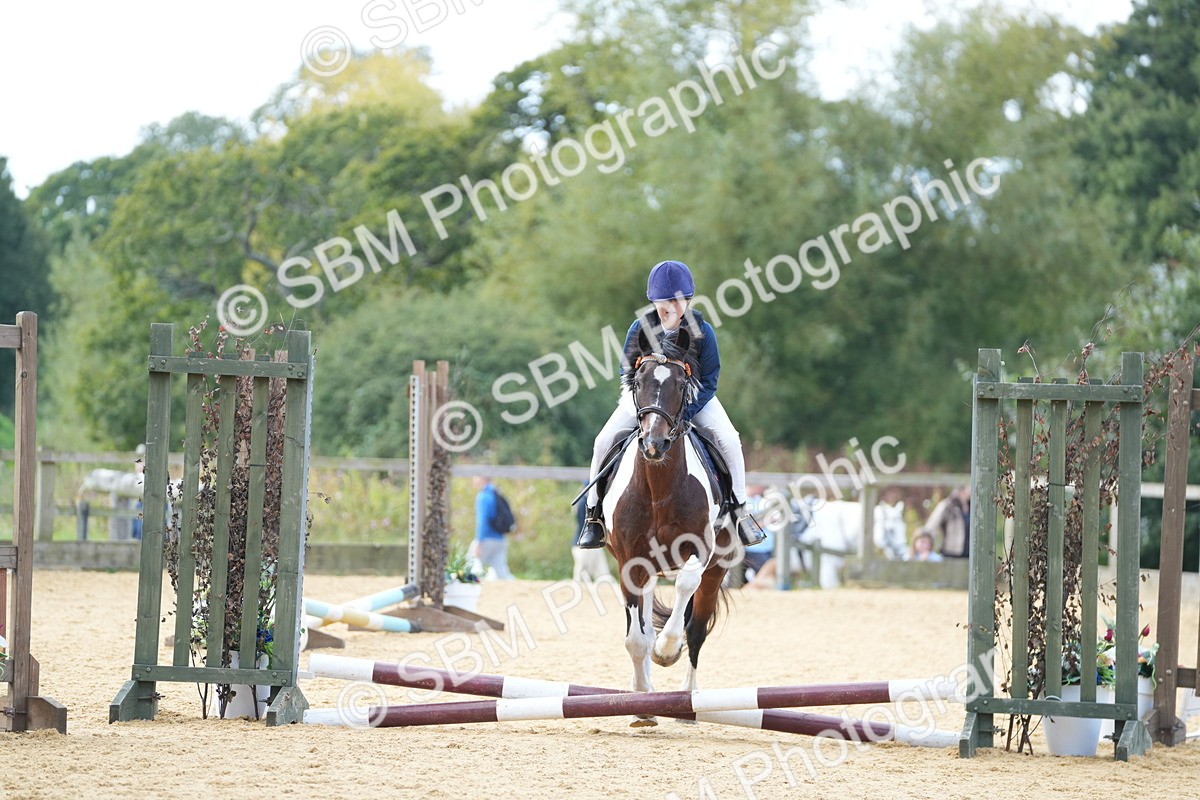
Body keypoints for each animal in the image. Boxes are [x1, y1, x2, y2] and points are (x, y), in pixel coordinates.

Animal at [602, 326, 734, 726]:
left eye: (680, 383)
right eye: (639, 381)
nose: (654, 444)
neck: (658, 486)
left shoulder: (701, 552)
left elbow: (685, 590)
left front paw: (666, 650)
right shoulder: (629, 562)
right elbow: (635, 638)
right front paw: (643, 703)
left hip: (717, 570)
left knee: (697, 631)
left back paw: (687, 703)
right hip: (646, 571)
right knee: (643, 624)